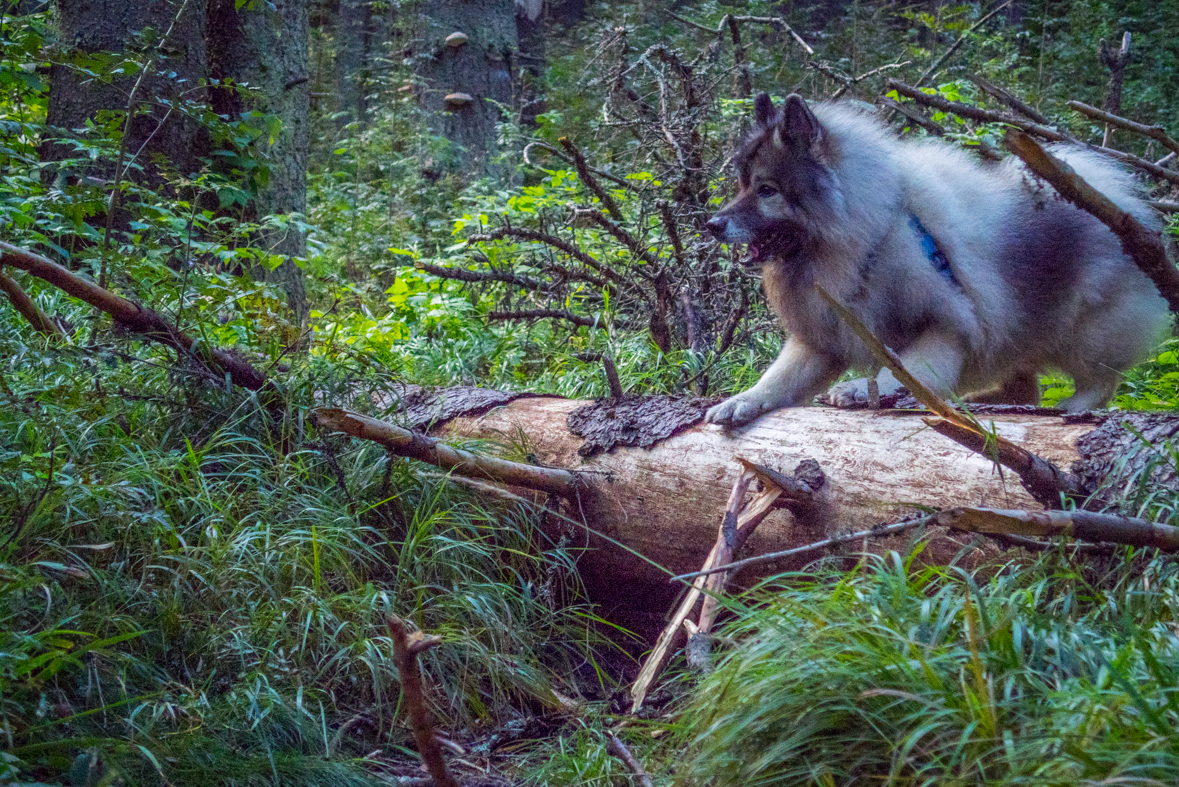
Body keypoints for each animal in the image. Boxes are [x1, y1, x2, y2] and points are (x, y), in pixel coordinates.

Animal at [697, 91, 1169, 426]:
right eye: (742, 185)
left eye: (767, 190)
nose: (712, 224)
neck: (871, 236)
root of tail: (1122, 201)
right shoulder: (822, 337)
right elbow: (779, 377)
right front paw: (744, 401)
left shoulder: (950, 322)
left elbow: (909, 367)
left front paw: (864, 388)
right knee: (1025, 389)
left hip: (1083, 328)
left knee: (1101, 380)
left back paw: (1073, 407)